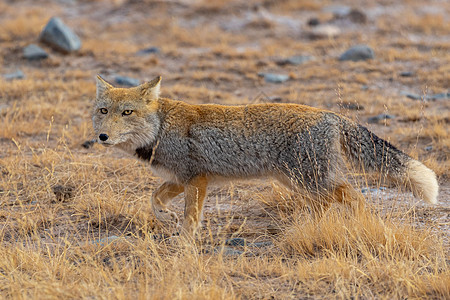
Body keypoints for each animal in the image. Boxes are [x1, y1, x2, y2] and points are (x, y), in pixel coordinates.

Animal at [92, 75, 440, 237]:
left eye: (127, 112)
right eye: (103, 111)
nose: (102, 137)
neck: (160, 128)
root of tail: (330, 115)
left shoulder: (196, 180)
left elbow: (191, 218)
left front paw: (184, 243)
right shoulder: (181, 178)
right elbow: (154, 198)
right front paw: (167, 218)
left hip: (311, 180)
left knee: (353, 195)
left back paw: (359, 223)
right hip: (299, 182)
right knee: (330, 203)